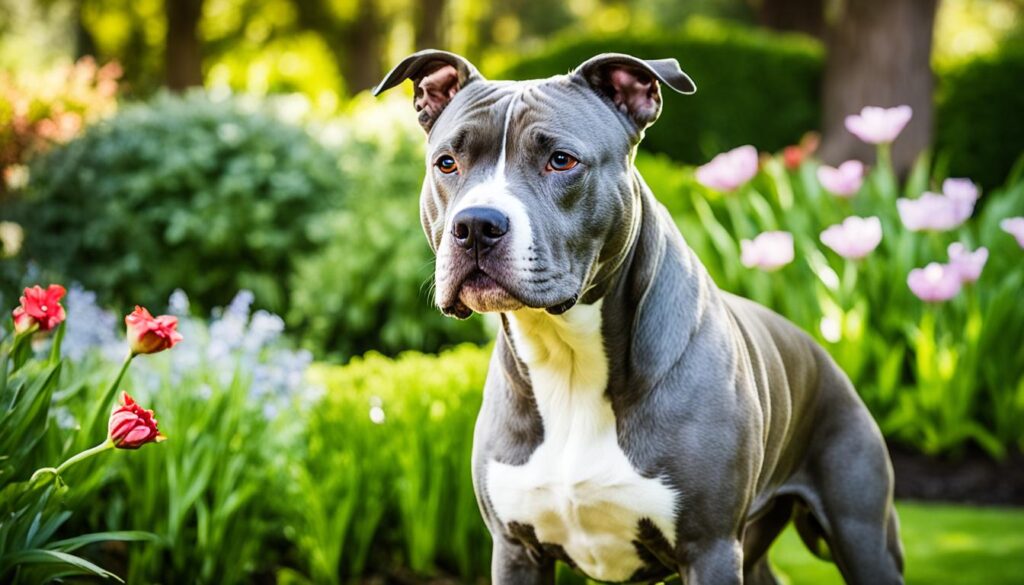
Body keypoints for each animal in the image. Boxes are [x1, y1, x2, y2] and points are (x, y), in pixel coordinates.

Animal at [374, 50, 905, 585]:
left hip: (862, 535)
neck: (566, 357)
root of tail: (819, 352)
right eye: (447, 162)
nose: (476, 224)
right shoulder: (516, 548)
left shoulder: (709, 547)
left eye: (561, 160)